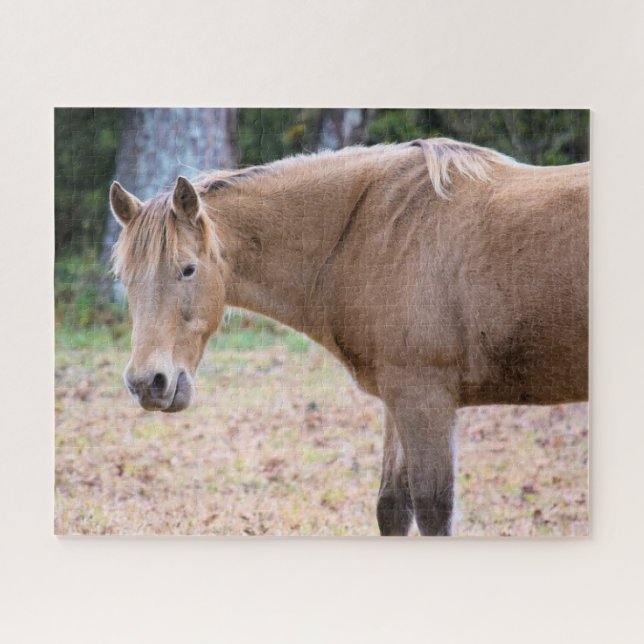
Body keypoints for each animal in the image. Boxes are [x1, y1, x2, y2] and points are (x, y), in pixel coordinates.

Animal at [109, 137, 589, 536]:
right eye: (124, 278)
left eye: (187, 269)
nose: (147, 383)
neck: (375, 232)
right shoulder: (398, 399)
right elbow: (392, 508)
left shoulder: (426, 400)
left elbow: (433, 510)